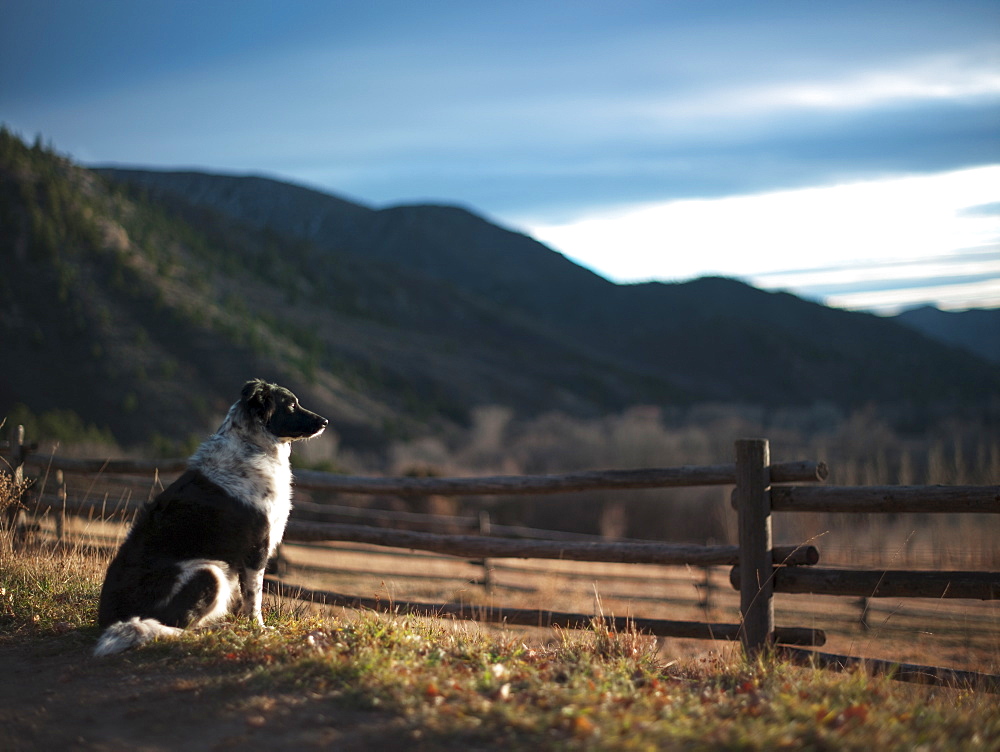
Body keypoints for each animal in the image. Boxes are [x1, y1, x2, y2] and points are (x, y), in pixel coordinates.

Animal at [94, 378, 328, 656]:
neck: (253, 445)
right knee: (174, 625)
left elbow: (246, 597)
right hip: (209, 571)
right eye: (291, 405)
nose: (325, 422)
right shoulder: (256, 549)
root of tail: (110, 619)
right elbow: (254, 598)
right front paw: (258, 629)